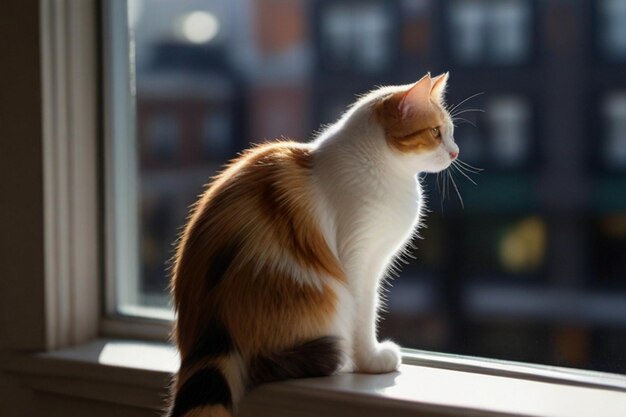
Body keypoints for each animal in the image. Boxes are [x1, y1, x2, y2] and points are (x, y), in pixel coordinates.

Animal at [168, 72, 456, 416]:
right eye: (436, 132)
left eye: (451, 132)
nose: (455, 152)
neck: (383, 169)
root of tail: (211, 330)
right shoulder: (359, 259)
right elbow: (365, 313)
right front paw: (371, 361)